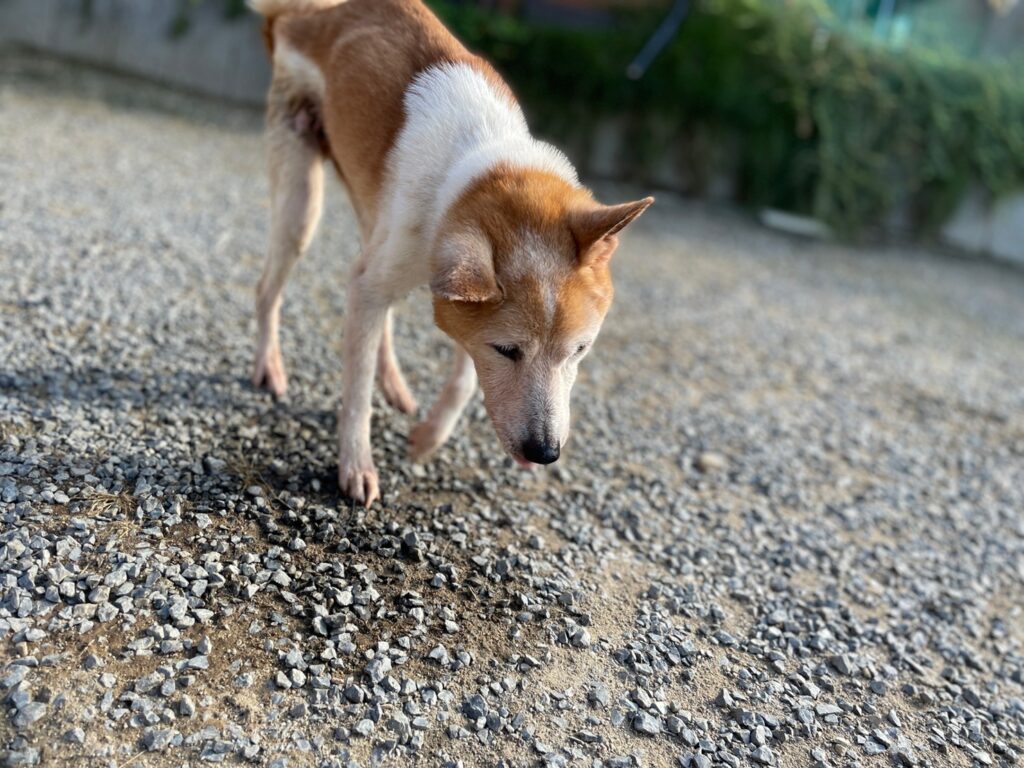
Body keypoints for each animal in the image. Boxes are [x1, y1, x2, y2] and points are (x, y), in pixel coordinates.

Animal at [249, 0, 653, 507]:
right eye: (507, 350)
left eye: (581, 350)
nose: (544, 453)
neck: (473, 164)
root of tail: (302, 14)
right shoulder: (411, 285)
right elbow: (356, 394)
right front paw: (356, 466)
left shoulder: (459, 300)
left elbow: (462, 380)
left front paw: (427, 439)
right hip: (303, 207)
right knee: (269, 290)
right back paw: (269, 365)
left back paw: (394, 383)